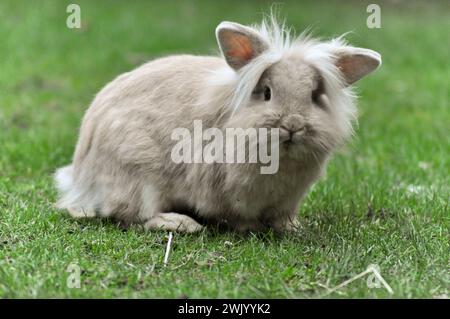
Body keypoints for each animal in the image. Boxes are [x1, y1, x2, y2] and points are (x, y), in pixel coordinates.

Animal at [54, 16, 382, 232]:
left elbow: (283, 218)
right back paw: (182, 223)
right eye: (266, 92)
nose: (292, 124)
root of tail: (82, 175)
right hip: (138, 180)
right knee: (136, 216)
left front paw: (293, 229)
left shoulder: (288, 201)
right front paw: (250, 229)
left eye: (315, 96)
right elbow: (239, 217)